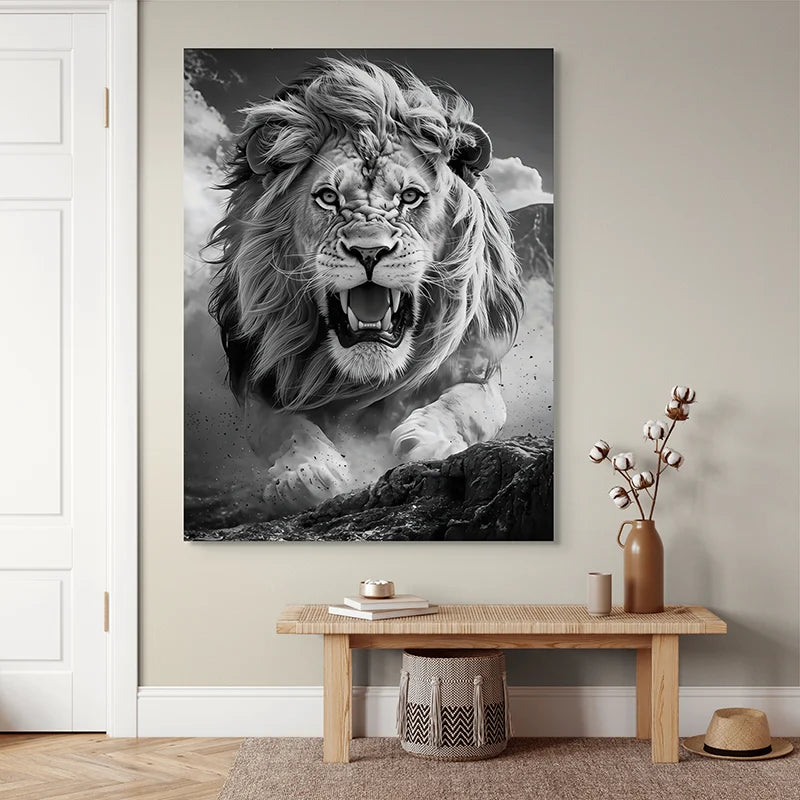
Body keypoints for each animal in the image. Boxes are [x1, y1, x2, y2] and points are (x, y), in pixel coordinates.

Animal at [208, 58, 524, 517]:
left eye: (410, 197)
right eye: (327, 197)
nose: (369, 250)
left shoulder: (477, 366)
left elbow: (466, 403)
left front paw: (427, 441)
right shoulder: (257, 379)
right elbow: (283, 425)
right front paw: (307, 472)